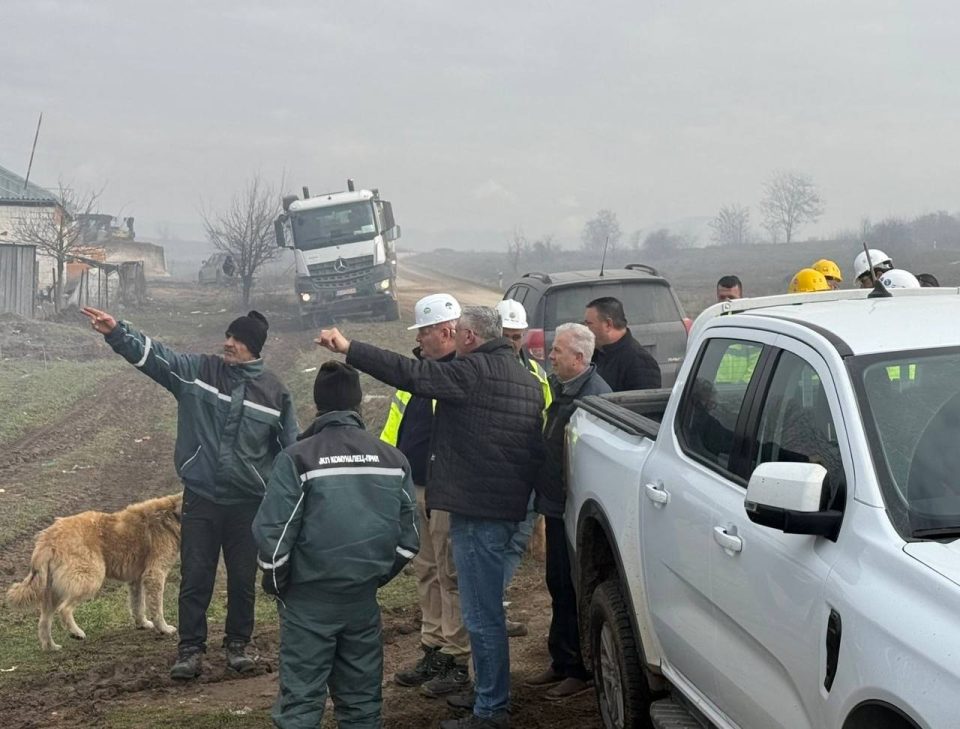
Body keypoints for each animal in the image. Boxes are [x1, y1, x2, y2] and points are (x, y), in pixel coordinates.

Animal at [5, 492, 183, 652]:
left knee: (44, 622)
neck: (172, 513)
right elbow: (157, 607)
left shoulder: (136, 580)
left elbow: (138, 605)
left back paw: (51, 647)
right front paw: (164, 628)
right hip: (90, 579)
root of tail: (49, 538)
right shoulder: (155, 574)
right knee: (64, 609)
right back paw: (76, 633)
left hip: (52, 591)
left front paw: (143, 624)